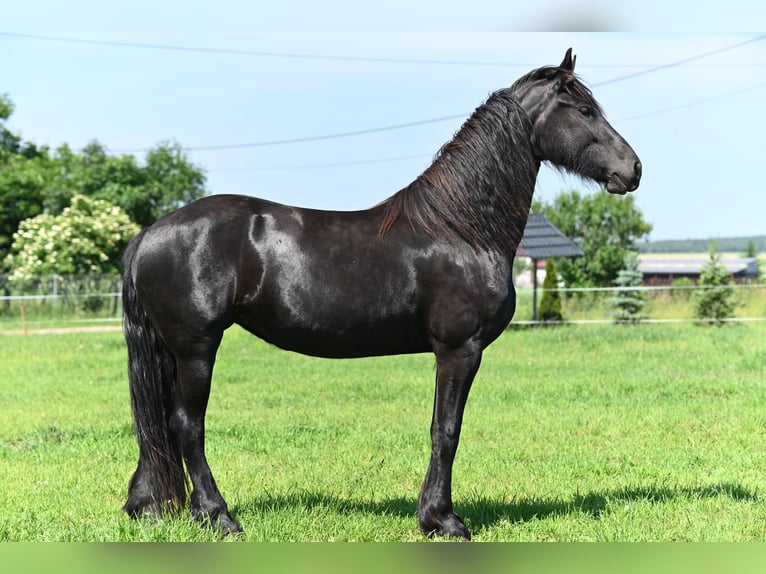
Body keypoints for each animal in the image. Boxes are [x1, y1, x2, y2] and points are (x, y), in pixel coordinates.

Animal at [121, 48, 641, 540]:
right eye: (584, 110)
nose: (633, 169)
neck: (461, 228)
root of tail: (149, 234)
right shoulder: (459, 349)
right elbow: (446, 431)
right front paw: (443, 520)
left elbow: (439, 429)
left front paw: (431, 516)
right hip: (196, 348)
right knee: (187, 426)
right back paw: (219, 517)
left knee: (160, 427)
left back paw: (152, 507)